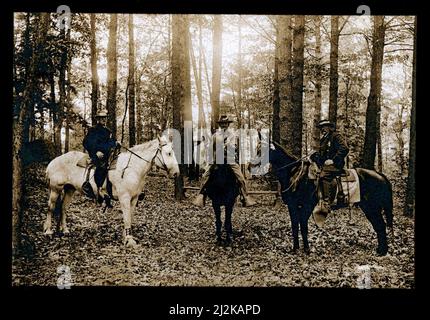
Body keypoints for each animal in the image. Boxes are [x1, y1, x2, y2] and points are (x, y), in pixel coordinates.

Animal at [46, 136, 181, 246]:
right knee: (51, 208)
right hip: (55, 189)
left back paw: (65, 230)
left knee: (63, 208)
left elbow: (130, 216)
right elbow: (127, 217)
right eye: (169, 153)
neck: (132, 168)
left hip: (69, 189)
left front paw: (126, 237)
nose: (176, 173)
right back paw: (48, 231)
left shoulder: (133, 199)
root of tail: (53, 162)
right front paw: (129, 240)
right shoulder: (124, 198)